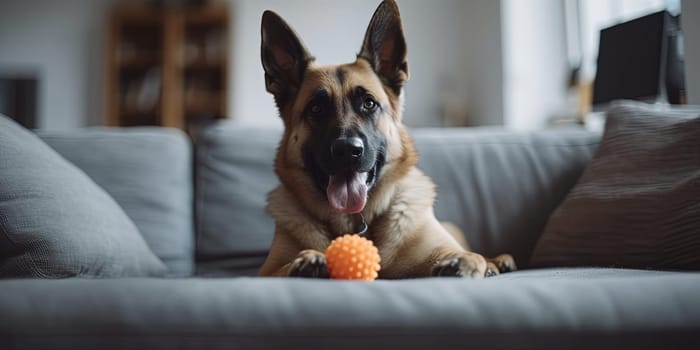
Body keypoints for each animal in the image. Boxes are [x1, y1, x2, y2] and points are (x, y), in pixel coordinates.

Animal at [258, 0, 516, 278]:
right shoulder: (267, 271)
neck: (357, 223)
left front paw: (465, 263)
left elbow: (467, 255)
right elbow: (284, 266)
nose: (347, 150)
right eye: (316, 109)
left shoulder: (437, 247)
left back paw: (498, 262)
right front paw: (308, 259)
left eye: (369, 104)